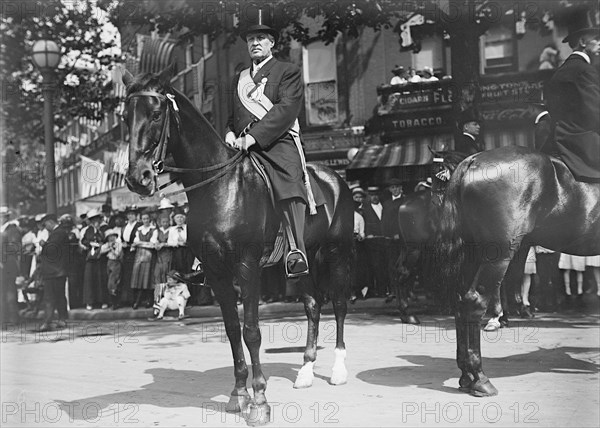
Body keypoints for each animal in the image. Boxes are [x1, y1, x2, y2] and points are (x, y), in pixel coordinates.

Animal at [123, 67, 354, 424]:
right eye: (125, 116)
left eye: (157, 114)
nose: (139, 178)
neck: (221, 188)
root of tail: (334, 178)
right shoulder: (217, 273)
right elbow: (232, 330)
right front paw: (238, 394)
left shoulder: (247, 269)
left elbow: (252, 332)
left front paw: (259, 401)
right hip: (301, 261)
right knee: (313, 304)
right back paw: (305, 371)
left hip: (335, 254)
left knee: (339, 304)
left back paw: (339, 370)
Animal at [436, 145, 600, 396]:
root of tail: (473, 160)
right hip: (498, 256)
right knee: (474, 302)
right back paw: (479, 378)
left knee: (460, 302)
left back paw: (466, 376)